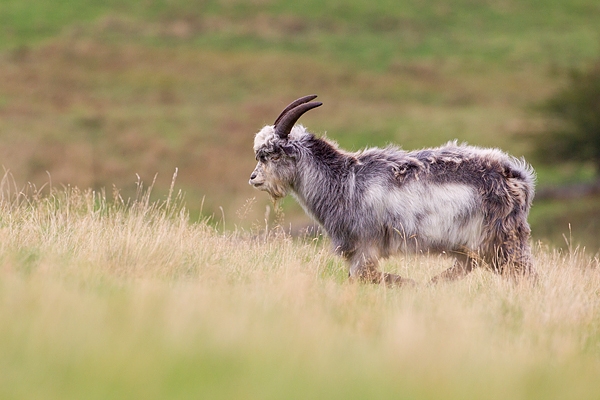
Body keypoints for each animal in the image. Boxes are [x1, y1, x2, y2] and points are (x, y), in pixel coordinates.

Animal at [248, 95, 536, 286]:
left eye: (271, 154)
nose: (253, 178)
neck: (344, 181)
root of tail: (519, 179)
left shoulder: (365, 246)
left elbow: (364, 277)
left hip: (501, 240)